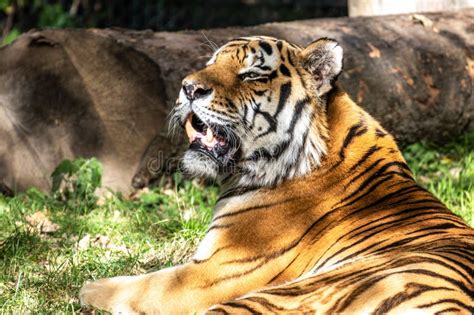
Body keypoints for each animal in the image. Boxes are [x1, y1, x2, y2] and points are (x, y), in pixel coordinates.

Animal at [79, 36, 472, 314]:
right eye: (211, 63)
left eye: (252, 74)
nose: (188, 87)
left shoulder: (213, 271)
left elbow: (141, 285)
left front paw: (88, 285)